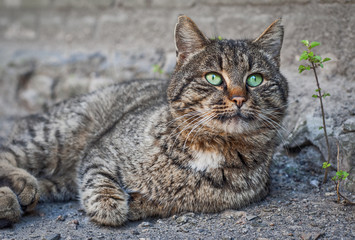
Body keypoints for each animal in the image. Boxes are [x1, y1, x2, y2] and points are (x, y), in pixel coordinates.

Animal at [0, 15, 290, 227]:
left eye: (255, 79)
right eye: (213, 78)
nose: (239, 98)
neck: (212, 147)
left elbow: (156, 202)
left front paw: (135, 203)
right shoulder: (101, 149)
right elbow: (99, 180)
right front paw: (110, 206)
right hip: (57, 138)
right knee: (8, 153)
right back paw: (20, 189)